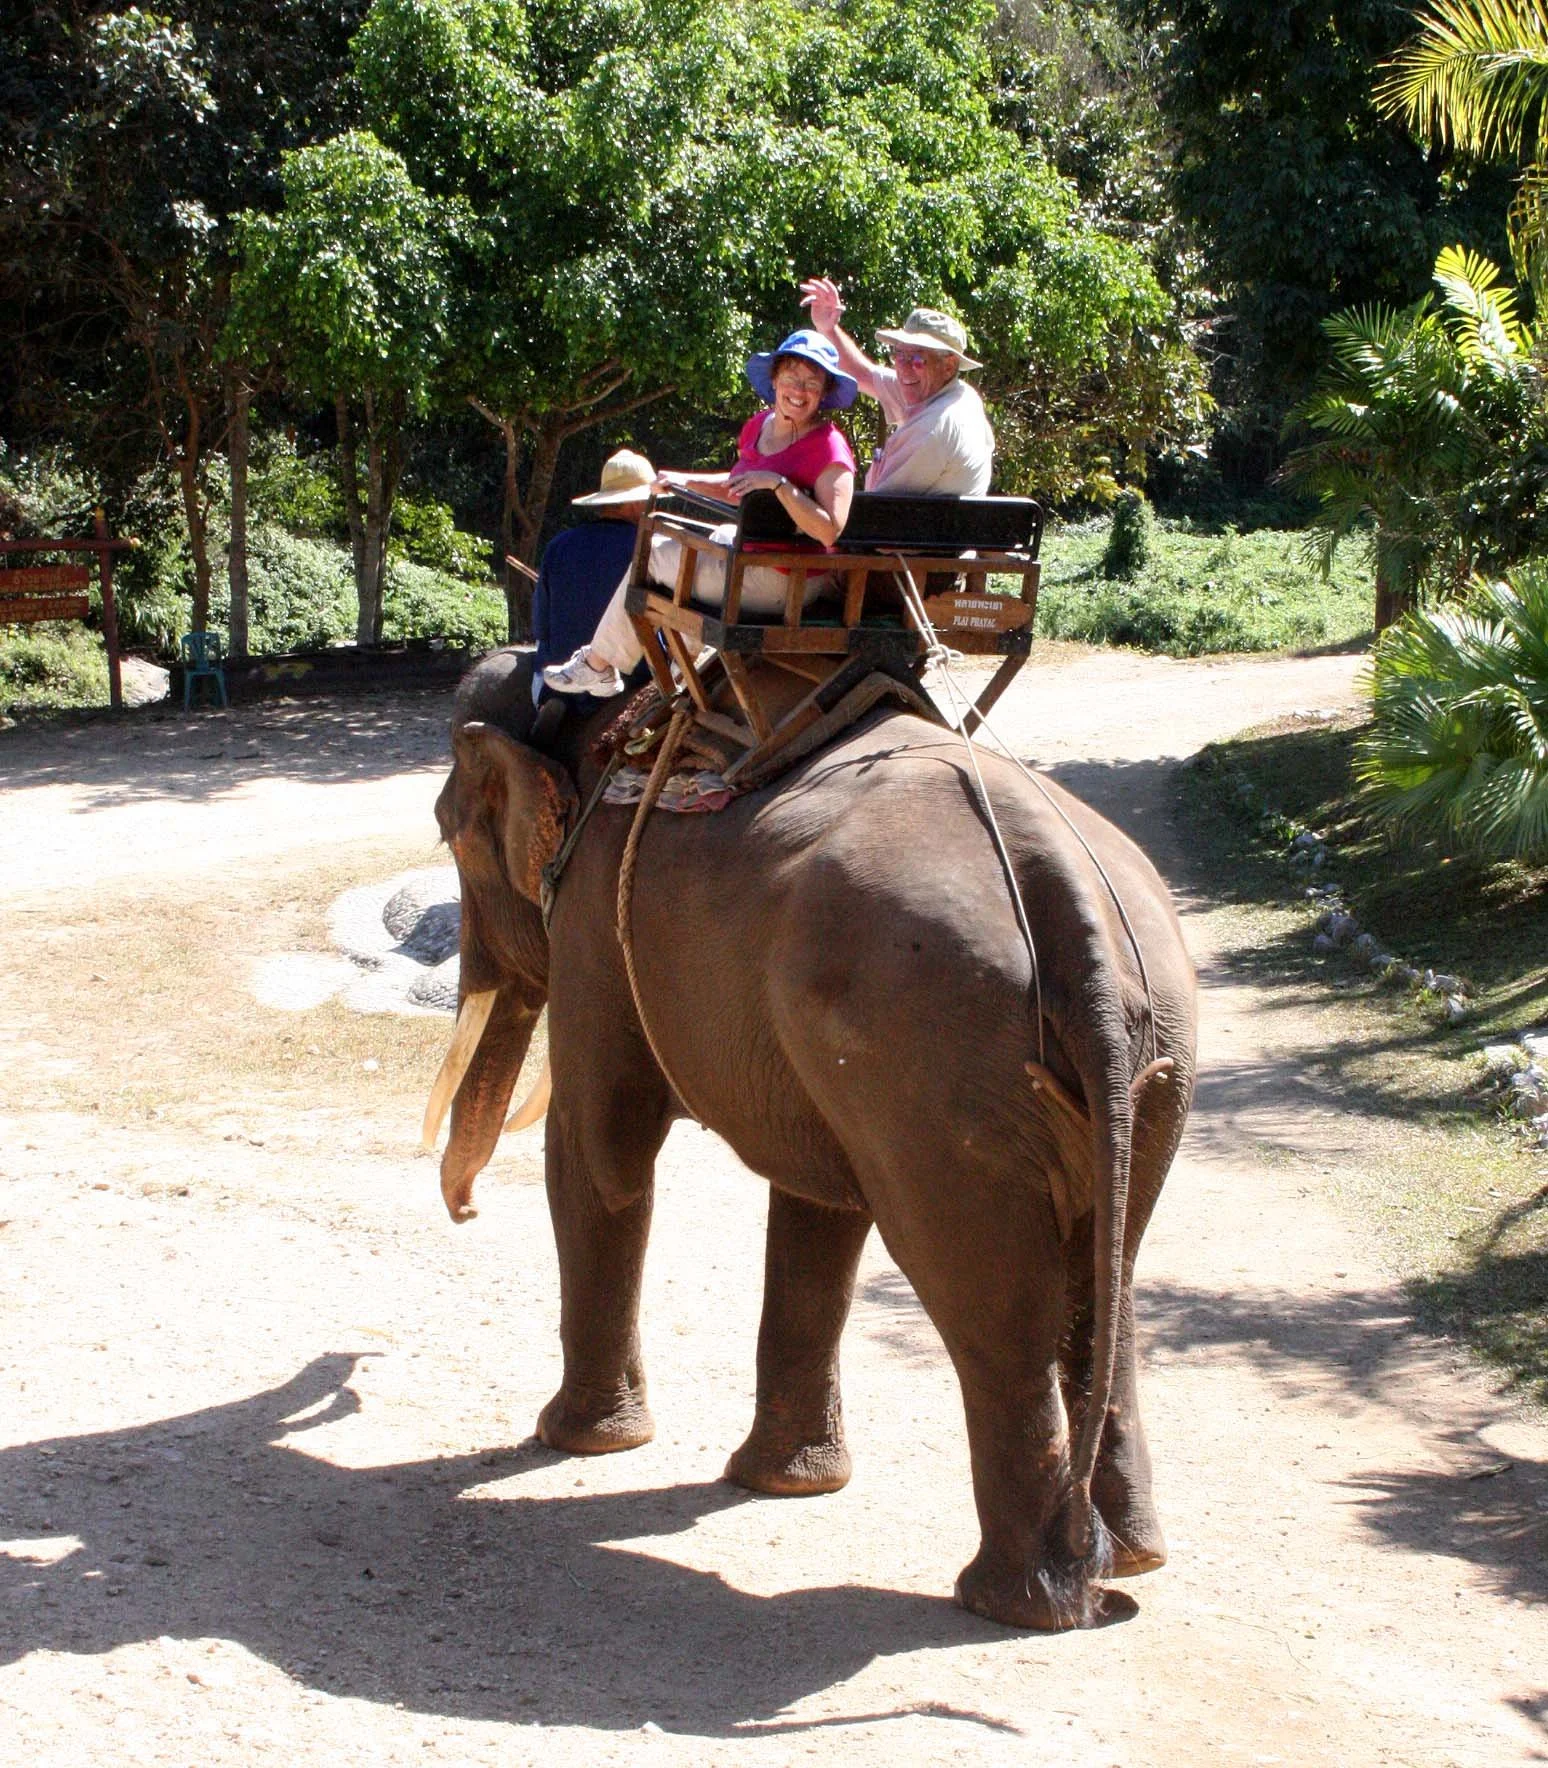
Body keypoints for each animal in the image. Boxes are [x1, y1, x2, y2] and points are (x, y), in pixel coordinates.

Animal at [426, 648, 1197, 1631]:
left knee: (989, 1287)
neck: (597, 728)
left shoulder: (597, 915)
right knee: (1109, 1274)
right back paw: (1128, 1562)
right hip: (1149, 1054)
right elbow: (819, 1206)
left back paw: (1019, 1602)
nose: (466, 1213)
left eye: (450, 837)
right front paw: (783, 1485)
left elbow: (600, 1149)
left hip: (930, 1051)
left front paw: (577, 1442)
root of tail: (1072, 901)